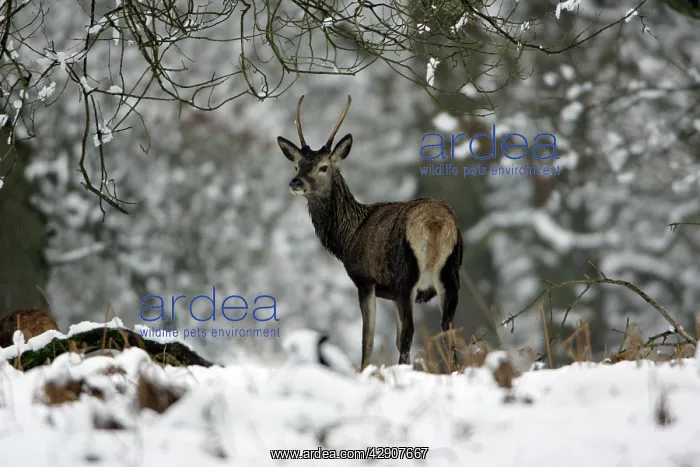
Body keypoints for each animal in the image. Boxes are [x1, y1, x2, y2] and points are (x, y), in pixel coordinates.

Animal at [277, 95, 464, 371]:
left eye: (323, 167)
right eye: (297, 165)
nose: (295, 182)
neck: (348, 236)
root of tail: (435, 223)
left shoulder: (365, 280)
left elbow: (368, 339)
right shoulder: (393, 293)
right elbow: (394, 337)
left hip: (407, 276)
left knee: (410, 333)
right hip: (450, 277)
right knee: (448, 333)